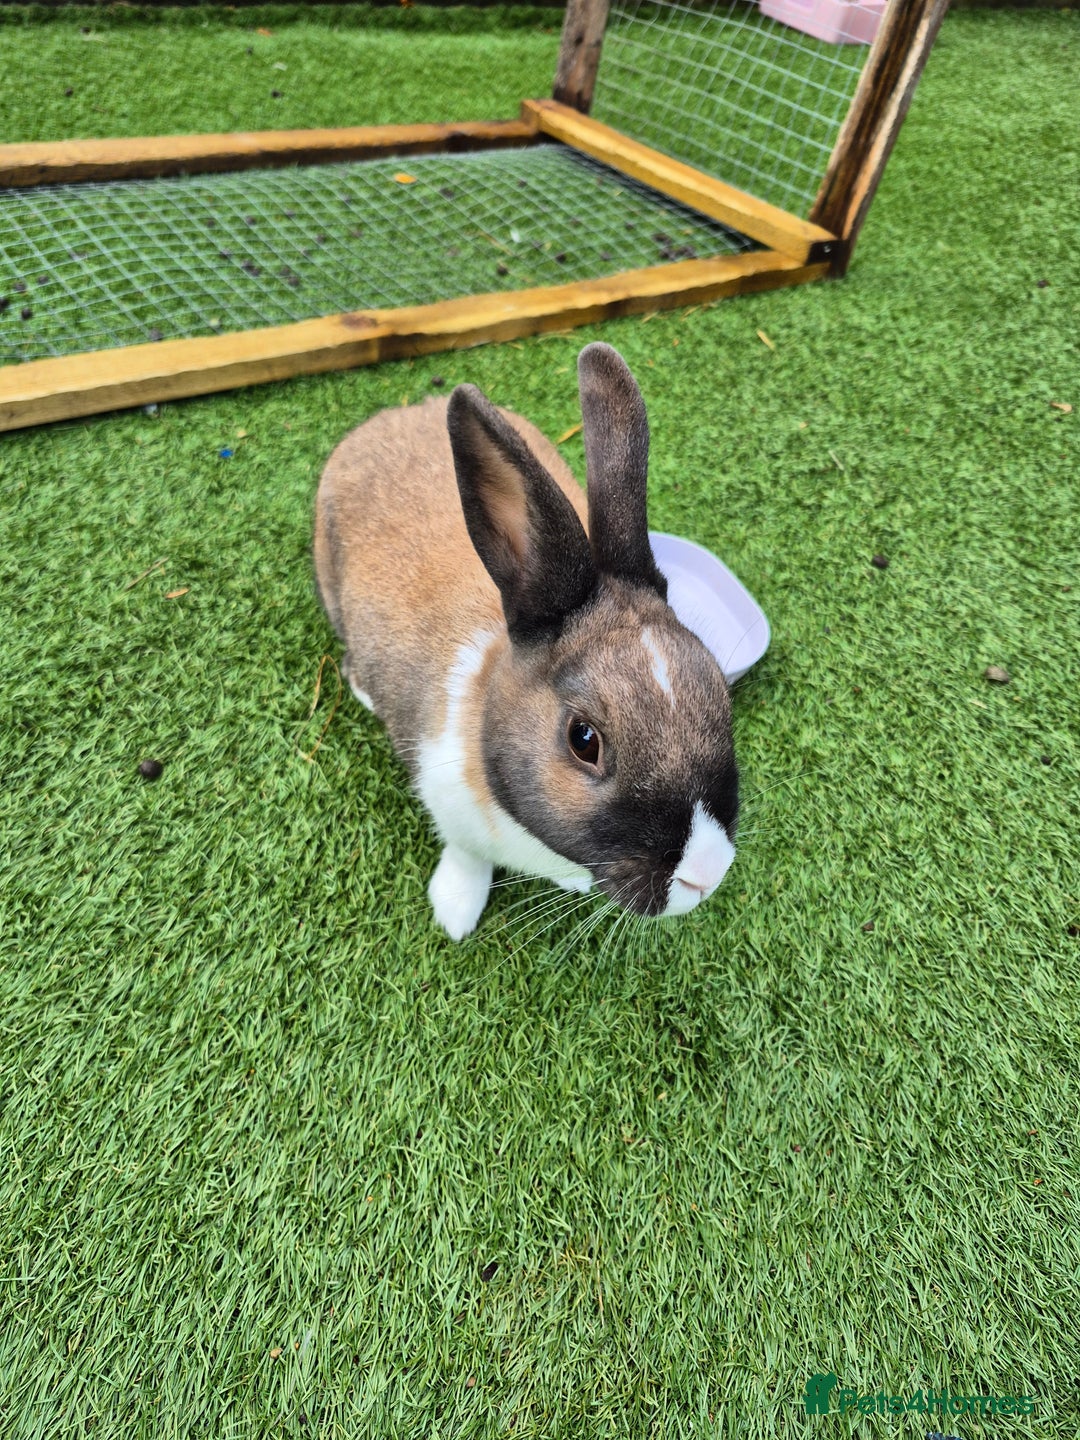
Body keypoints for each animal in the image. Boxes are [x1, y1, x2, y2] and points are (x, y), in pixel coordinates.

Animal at [312, 342, 738, 940]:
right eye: (584, 740)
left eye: (720, 690)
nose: (706, 874)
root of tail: (396, 414)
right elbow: (466, 858)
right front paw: (454, 913)